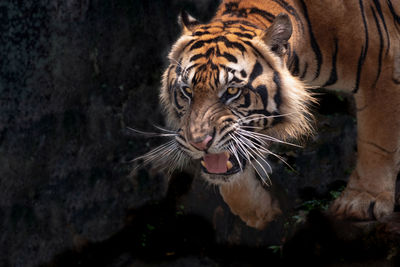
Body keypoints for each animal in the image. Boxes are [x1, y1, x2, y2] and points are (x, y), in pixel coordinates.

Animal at [136, 0, 398, 230]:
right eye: (187, 91)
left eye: (231, 91)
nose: (199, 143)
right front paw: (258, 211)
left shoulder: (383, 70)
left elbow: (377, 142)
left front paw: (363, 202)